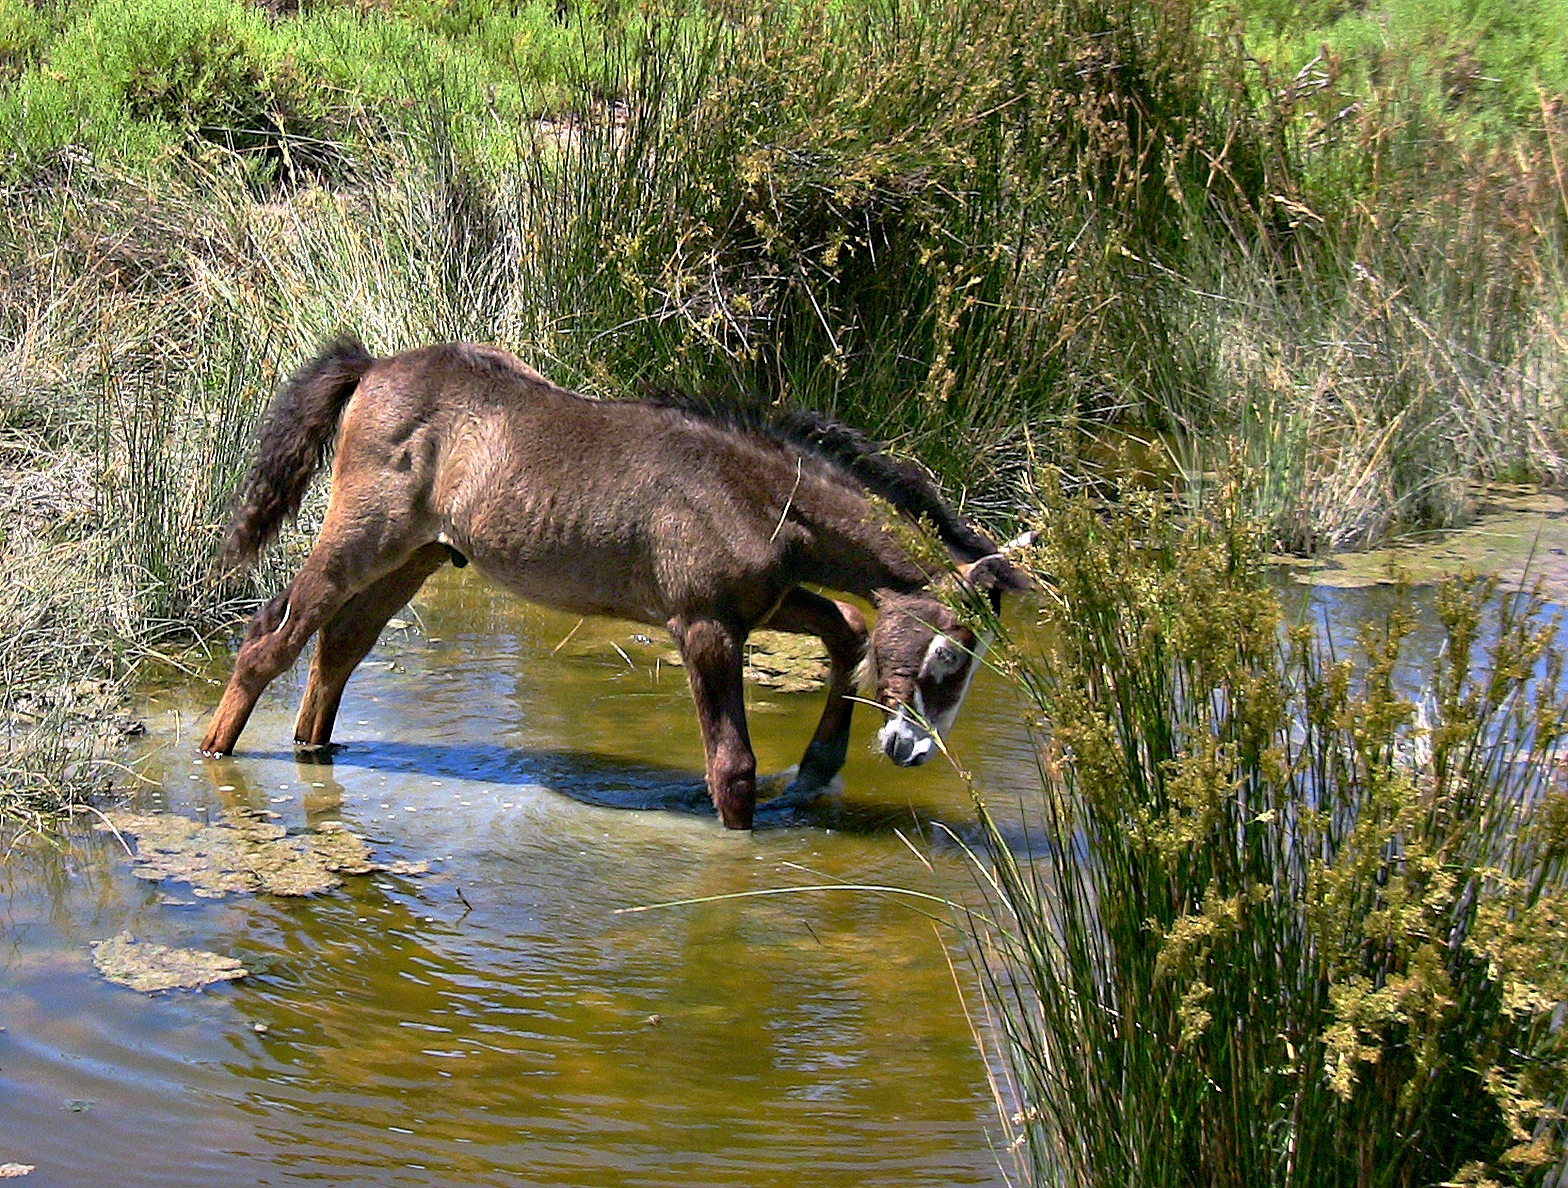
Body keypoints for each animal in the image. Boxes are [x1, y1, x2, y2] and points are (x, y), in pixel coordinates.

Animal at [201, 338, 1031, 829]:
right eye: (949, 658)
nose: (910, 749)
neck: (757, 495)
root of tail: (373, 367)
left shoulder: (764, 603)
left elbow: (850, 632)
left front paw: (818, 769)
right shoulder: (703, 626)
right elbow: (731, 770)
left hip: (418, 556)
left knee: (339, 644)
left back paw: (313, 750)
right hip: (361, 538)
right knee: (271, 640)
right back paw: (217, 754)